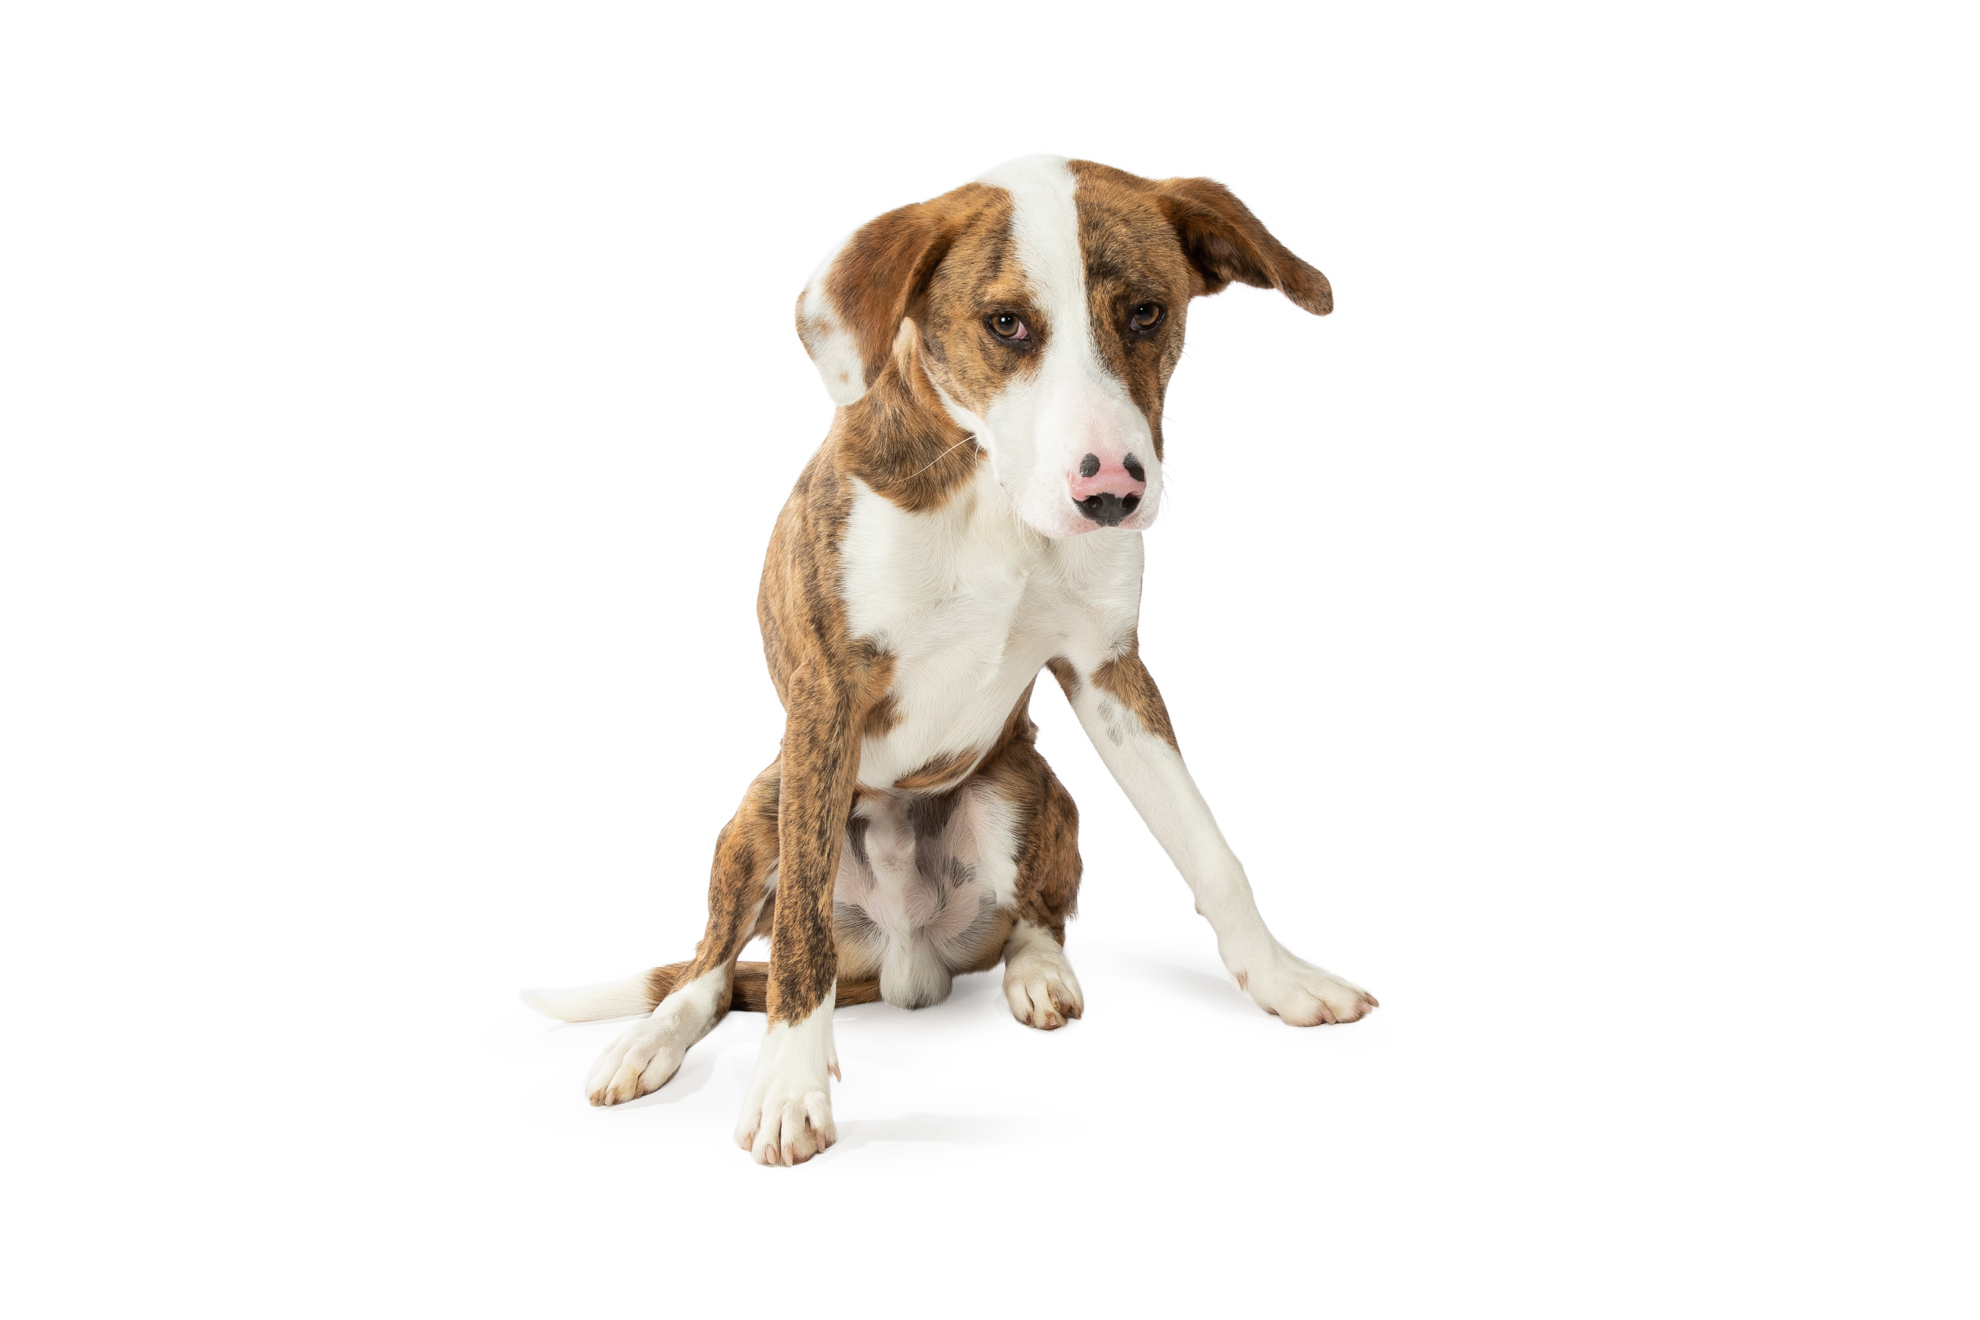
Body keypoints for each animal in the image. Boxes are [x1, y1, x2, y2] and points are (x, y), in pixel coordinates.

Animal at [523, 155, 1377, 1165]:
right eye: (1005, 323)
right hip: (762, 803)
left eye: (1146, 312)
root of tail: (906, 966)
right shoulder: (825, 700)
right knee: (710, 965)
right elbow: (797, 926)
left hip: (1030, 786)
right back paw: (650, 1041)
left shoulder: (1110, 671)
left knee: (1035, 915)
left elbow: (1207, 846)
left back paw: (1038, 973)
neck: (991, 496)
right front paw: (789, 1088)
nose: (1111, 490)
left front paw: (1281, 977)